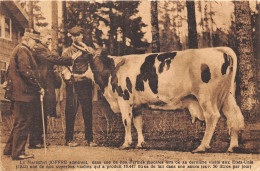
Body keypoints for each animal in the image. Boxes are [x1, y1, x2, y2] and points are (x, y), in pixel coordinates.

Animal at [66, 46, 245, 153]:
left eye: (78, 61)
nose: (65, 75)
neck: (112, 71)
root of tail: (219, 49)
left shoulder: (124, 99)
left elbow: (126, 121)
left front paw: (126, 143)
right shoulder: (136, 105)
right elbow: (138, 123)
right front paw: (140, 144)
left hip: (207, 96)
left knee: (212, 117)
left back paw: (202, 146)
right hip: (227, 96)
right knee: (233, 117)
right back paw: (232, 146)